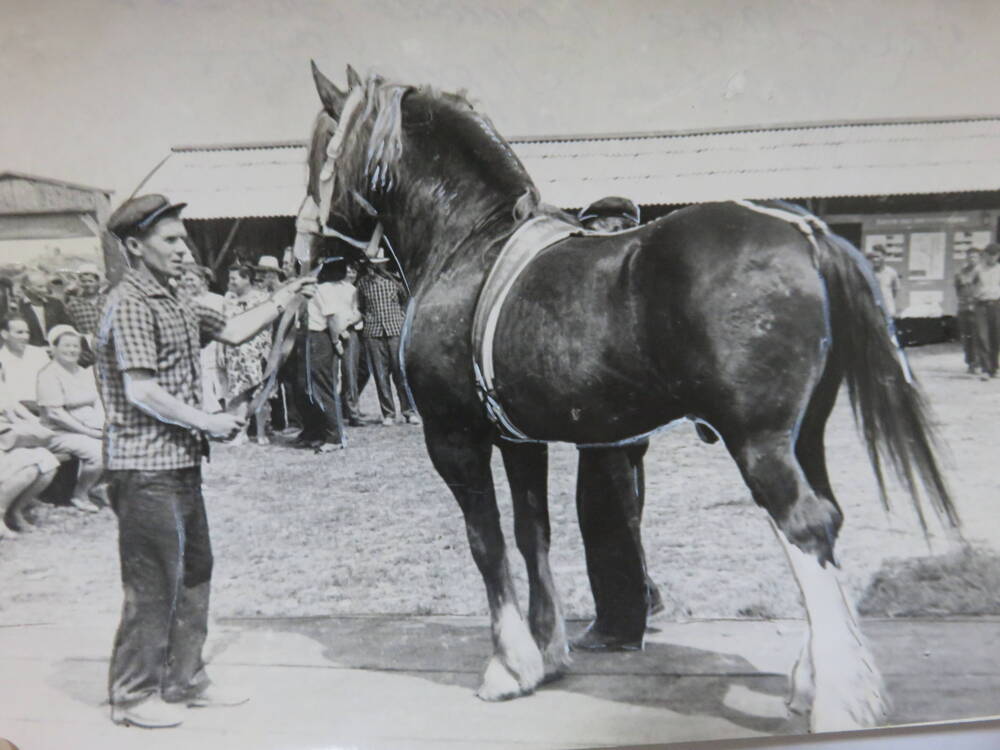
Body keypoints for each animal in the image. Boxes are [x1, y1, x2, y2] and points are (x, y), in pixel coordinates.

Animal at [302, 64, 952, 736]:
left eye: (321, 151)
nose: (314, 250)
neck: (469, 248)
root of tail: (805, 231)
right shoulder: (519, 440)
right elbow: (533, 533)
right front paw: (548, 652)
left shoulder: (455, 438)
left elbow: (487, 542)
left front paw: (508, 666)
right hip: (806, 433)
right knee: (828, 518)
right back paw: (813, 679)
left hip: (760, 441)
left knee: (805, 525)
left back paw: (842, 698)